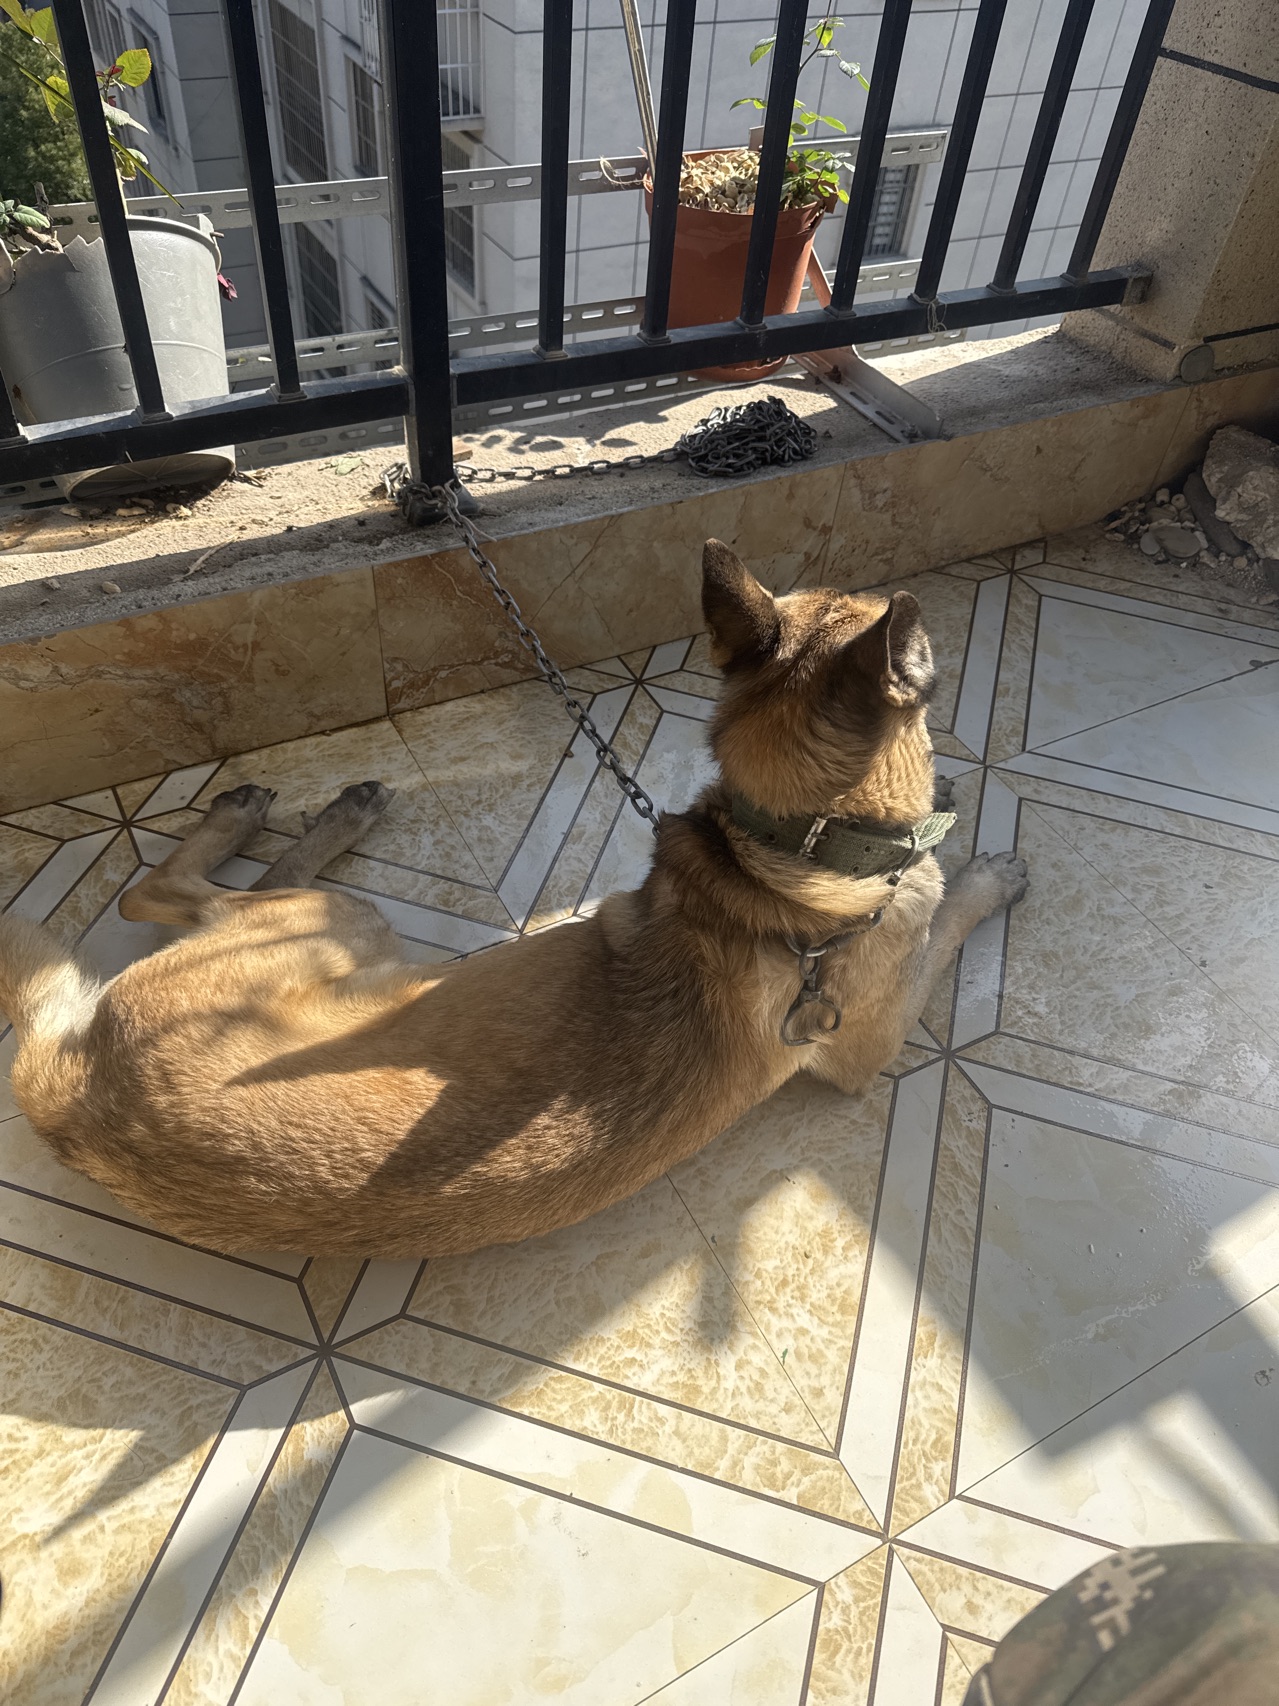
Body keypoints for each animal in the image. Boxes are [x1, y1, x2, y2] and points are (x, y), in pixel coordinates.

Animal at [0, 541, 1027, 1257]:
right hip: (339, 922)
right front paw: (984, 872)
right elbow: (946, 917)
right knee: (156, 888)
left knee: (161, 898)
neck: (778, 855)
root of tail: (78, 1107)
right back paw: (293, 815)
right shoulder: (867, 1047)